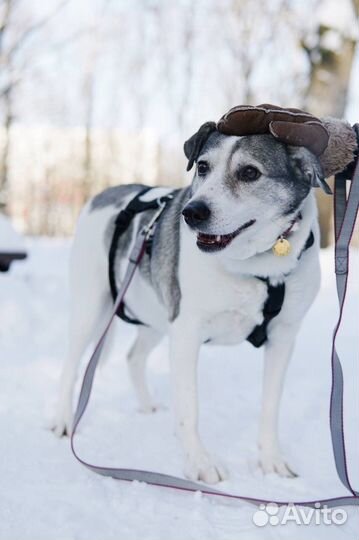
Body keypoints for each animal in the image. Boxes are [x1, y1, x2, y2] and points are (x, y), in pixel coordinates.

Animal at [53, 122, 352, 486]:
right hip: (92, 307)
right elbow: (190, 407)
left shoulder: (283, 337)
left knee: (134, 356)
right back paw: (63, 419)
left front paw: (271, 460)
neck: (256, 265)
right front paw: (199, 462)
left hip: (157, 314)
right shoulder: (186, 333)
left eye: (250, 172)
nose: (192, 213)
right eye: (203, 167)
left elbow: (270, 406)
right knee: (71, 365)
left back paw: (148, 406)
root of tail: (104, 195)